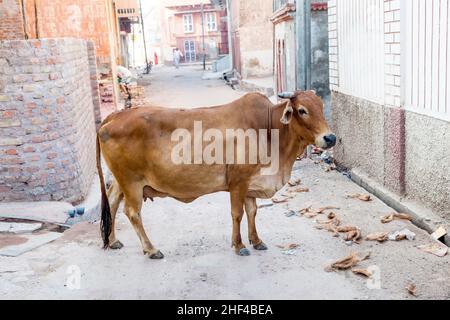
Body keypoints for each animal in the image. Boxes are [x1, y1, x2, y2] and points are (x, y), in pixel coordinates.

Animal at [96, 90, 336, 260]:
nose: (330, 138)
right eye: (302, 110)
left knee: (112, 202)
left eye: (322, 106)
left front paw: (256, 240)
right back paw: (151, 249)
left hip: (121, 181)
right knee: (132, 212)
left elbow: (252, 212)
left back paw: (113, 240)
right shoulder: (238, 182)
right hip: (132, 183)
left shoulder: (251, 185)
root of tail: (115, 115)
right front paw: (239, 245)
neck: (270, 132)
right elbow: (237, 214)